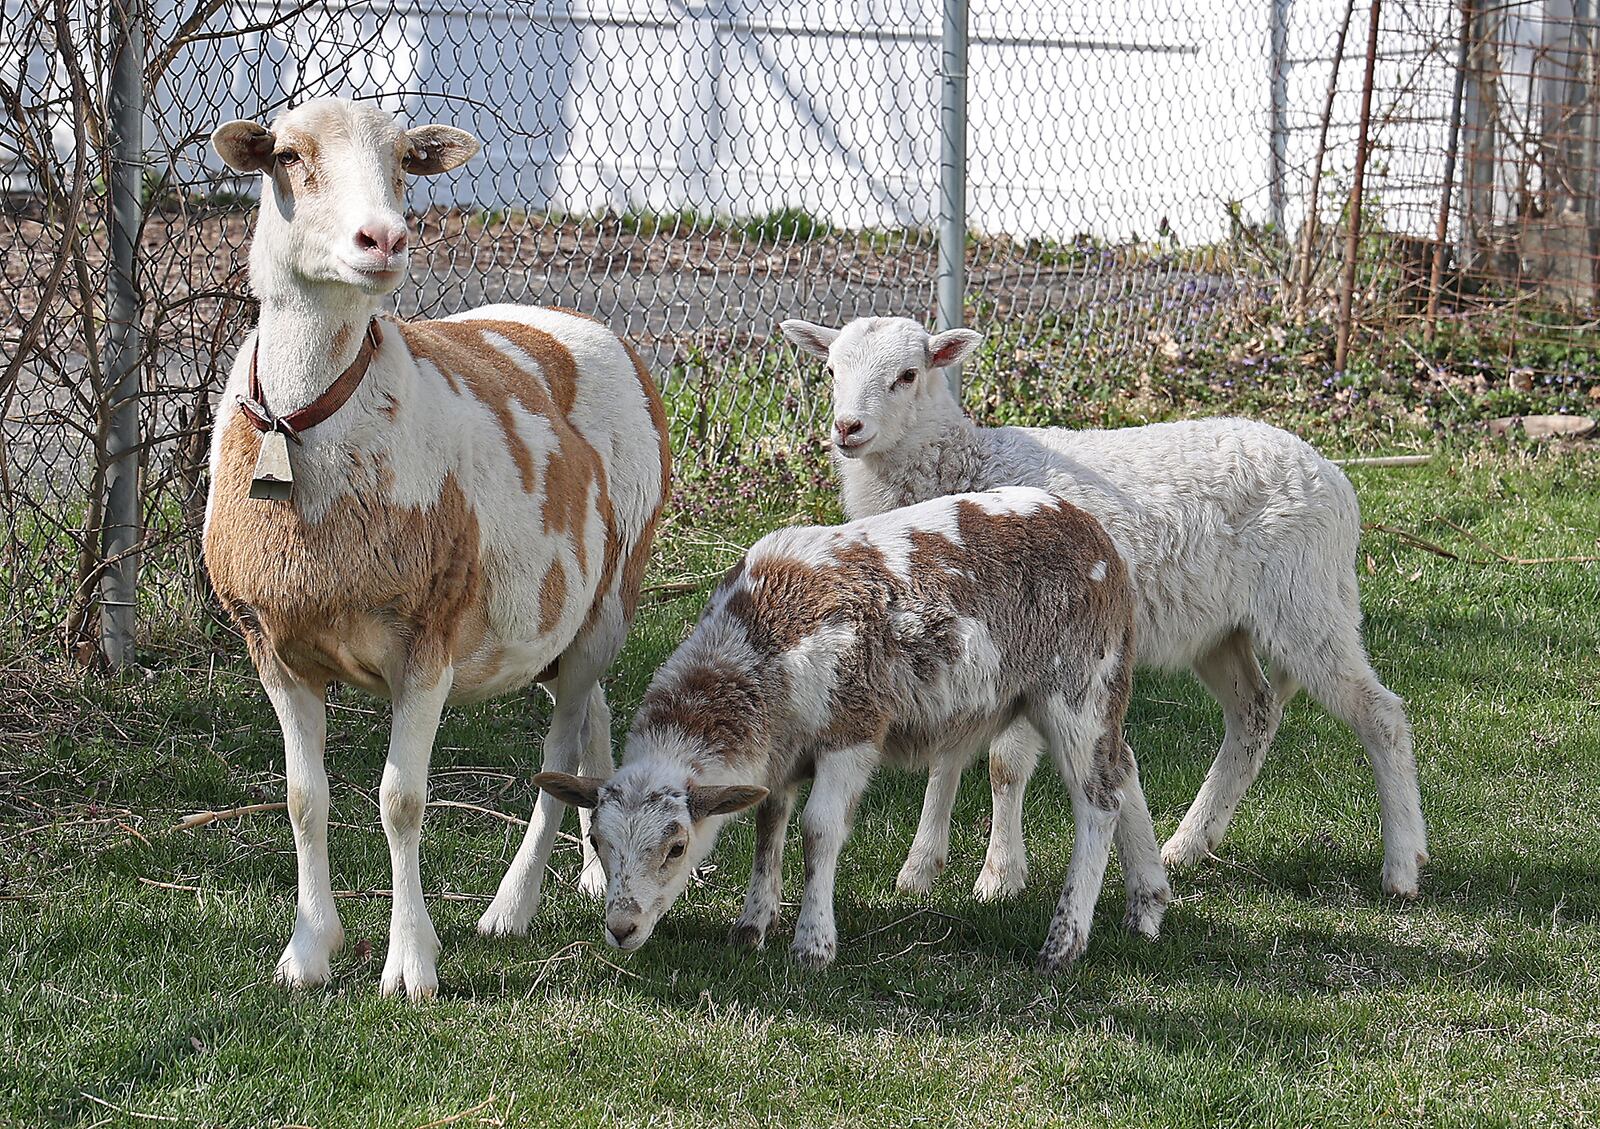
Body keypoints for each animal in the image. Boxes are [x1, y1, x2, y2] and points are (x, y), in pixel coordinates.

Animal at [204, 99, 668, 991]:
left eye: (404, 164)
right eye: (288, 156)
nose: (384, 239)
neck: (304, 422)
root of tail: (587, 321)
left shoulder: (426, 635)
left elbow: (401, 801)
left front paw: (411, 963)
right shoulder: (271, 640)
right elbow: (302, 799)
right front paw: (308, 951)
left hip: (616, 589)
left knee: (560, 744)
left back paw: (512, 906)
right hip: (565, 612)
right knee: (590, 710)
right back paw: (597, 868)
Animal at [531, 486, 1171, 965]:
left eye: (676, 847)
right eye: (597, 842)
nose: (620, 930)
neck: (757, 650)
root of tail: (1091, 528)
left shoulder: (852, 730)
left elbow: (818, 830)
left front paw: (813, 945)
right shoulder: (780, 756)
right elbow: (769, 828)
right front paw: (751, 927)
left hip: (1078, 685)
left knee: (1097, 803)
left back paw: (1064, 944)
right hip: (1084, 693)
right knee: (1123, 766)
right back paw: (1148, 904)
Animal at [780, 315, 1433, 895]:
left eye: (908, 375)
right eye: (831, 369)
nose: (847, 428)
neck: (963, 465)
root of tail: (1334, 474)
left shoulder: (1038, 636)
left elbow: (1004, 766)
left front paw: (998, 878)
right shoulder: (969, 645)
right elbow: (950, 755)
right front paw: (919, 872)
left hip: (1307, 601)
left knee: (1380, 714)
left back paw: (1403, 865)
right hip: (1220, 629)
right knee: (1255, 715)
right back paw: (1187, 845)